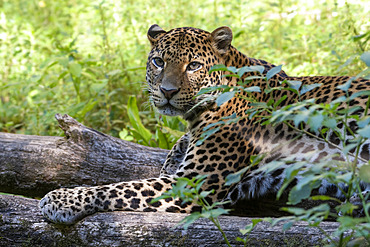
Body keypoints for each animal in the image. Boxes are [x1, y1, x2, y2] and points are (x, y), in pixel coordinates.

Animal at [39, 24, 370, 224]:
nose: (167, 91)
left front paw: (59, 199)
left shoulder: (190, 185)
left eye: (194, 66)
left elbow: (118, 188)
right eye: (159, 61)